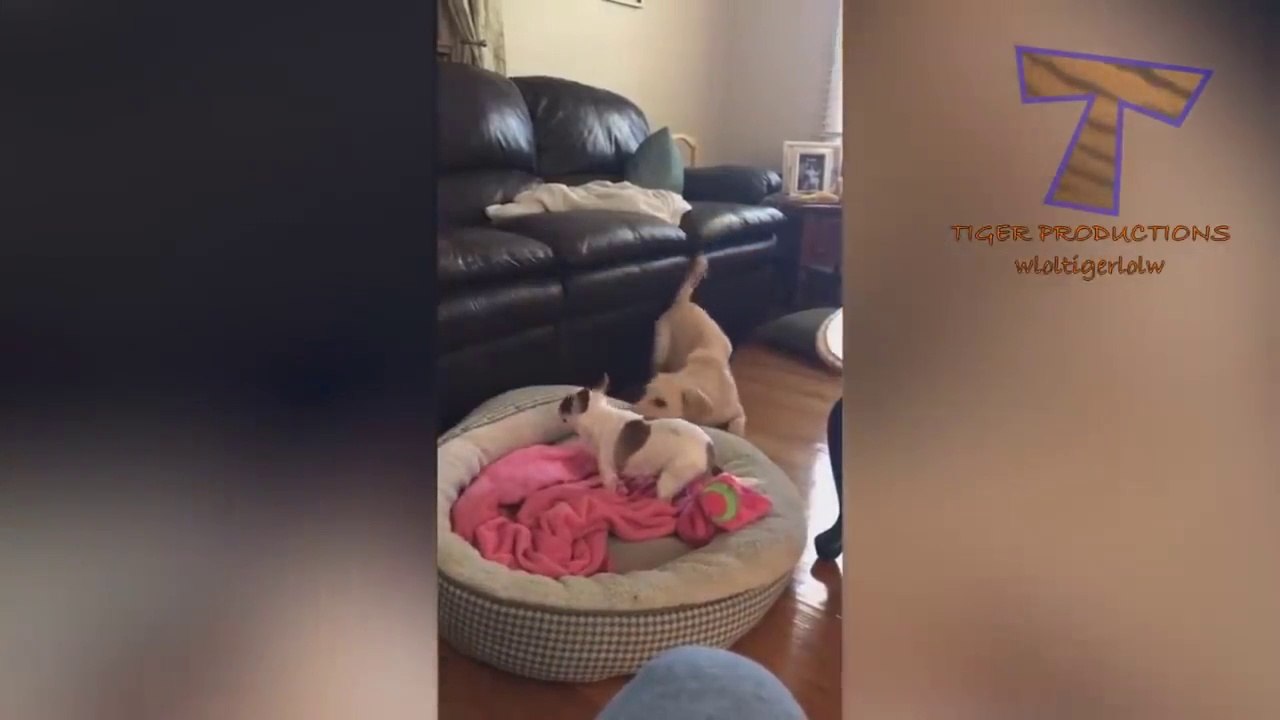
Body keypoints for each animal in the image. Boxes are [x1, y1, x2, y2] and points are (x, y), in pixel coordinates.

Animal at [559, 376, 719, 500]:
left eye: (566, 402)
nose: (558, 407)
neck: (599, 415)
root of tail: (709, 448)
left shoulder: (607, 468)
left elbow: (609, 484)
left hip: (671, 477)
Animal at [634, 255, 748, 435]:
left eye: (660, 402)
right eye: (645, 393)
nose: (628, 410)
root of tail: (683, 302)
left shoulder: (738, 411)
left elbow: (736, 427)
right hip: (661, 348)